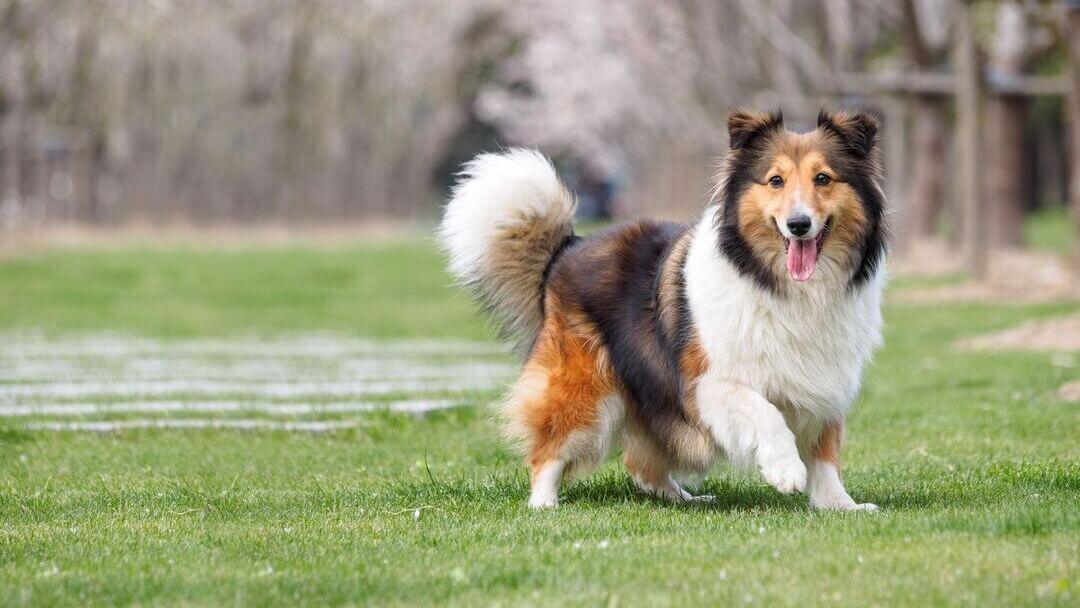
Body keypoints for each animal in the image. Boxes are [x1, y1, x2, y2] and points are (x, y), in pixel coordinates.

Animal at [438, 107, 885, 509]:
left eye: (823, 178)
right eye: (776, 181)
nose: (798, 225)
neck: (779, 284)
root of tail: (567, 248)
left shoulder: (824, 379)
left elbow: (825, 453)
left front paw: (840, 505)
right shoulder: (709, 382)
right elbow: (766, 412)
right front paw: (785, 469)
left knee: (641, 464)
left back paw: (685, 497)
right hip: (586, 389)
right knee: (549, 448)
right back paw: (544, 503)